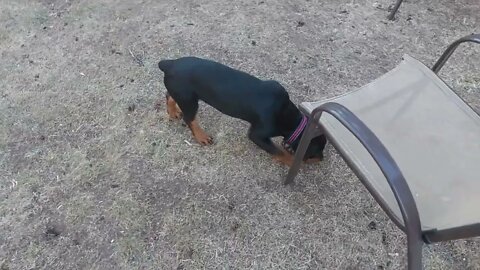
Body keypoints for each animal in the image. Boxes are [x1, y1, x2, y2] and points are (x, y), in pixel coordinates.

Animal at [158, 56, 326, 166]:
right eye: (317, 152)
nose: (322, 159)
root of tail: (169, 64)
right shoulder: (257, 135)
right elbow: (278, 152)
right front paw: (292, 162)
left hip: (183, 95)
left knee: (169, 96)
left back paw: (173, 112)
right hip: (189, 101)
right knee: (190, 119)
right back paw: (202, 137)